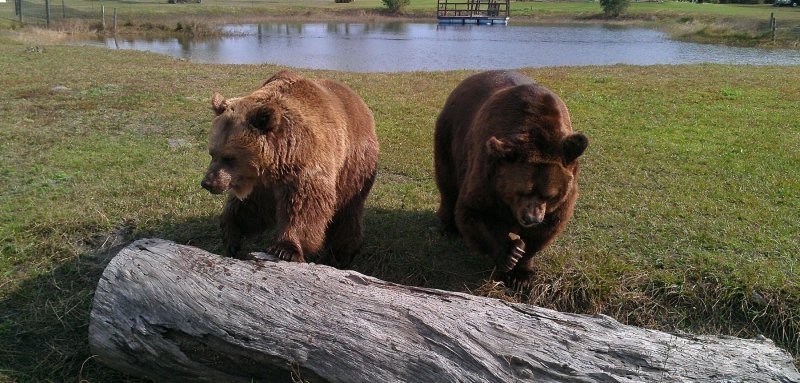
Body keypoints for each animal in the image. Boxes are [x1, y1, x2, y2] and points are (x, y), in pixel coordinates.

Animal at [202, 70, 380, 268]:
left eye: (229, 157)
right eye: (212, 153)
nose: (208, 183)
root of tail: (360, 102)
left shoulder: (305, 165)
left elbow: (304, 206)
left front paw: (285, 249)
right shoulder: (261, 185)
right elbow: (248, 209)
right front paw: (231, 237)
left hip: (353, 166)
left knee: (348, 212)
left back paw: (342, 254)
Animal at [438, 70, 588, 288]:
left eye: (549, 195)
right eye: (522, 191)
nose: (531, 218)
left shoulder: (563, 197)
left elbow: (545, 230)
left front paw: (521, 274)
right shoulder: (489, 175)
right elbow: (474, 211)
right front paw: (510, 253)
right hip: (450, 133)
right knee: (447, 183)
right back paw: (449, 227)